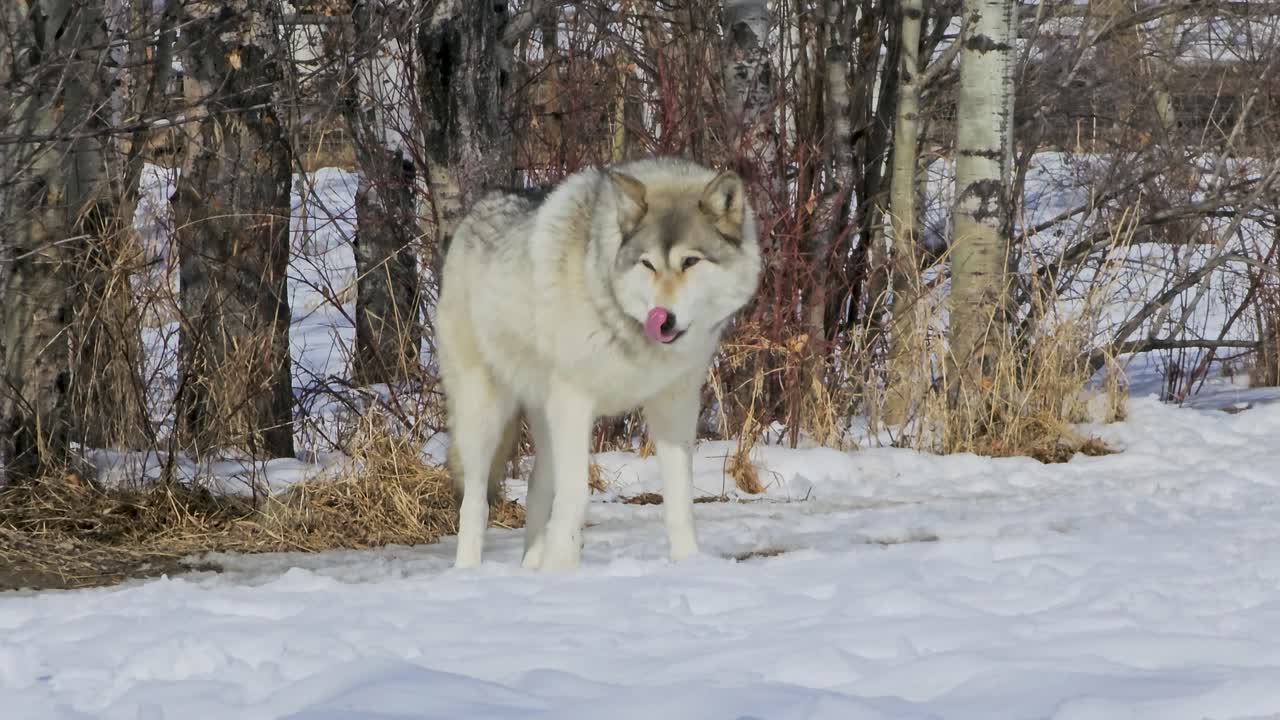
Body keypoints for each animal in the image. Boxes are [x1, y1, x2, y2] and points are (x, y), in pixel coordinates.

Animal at [437, 156, 762, 571]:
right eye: (648, 264)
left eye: (690, 261)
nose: (663, 319)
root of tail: (476, 209)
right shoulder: (575, 401)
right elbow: (575, 493)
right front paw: (561, 568)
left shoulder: (675, 406)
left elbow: (679, 499)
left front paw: (689, 563)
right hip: (485, 413)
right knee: (475, 499)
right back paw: (470, 570)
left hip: (544, 418)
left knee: (537, 488)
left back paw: (531, 566)